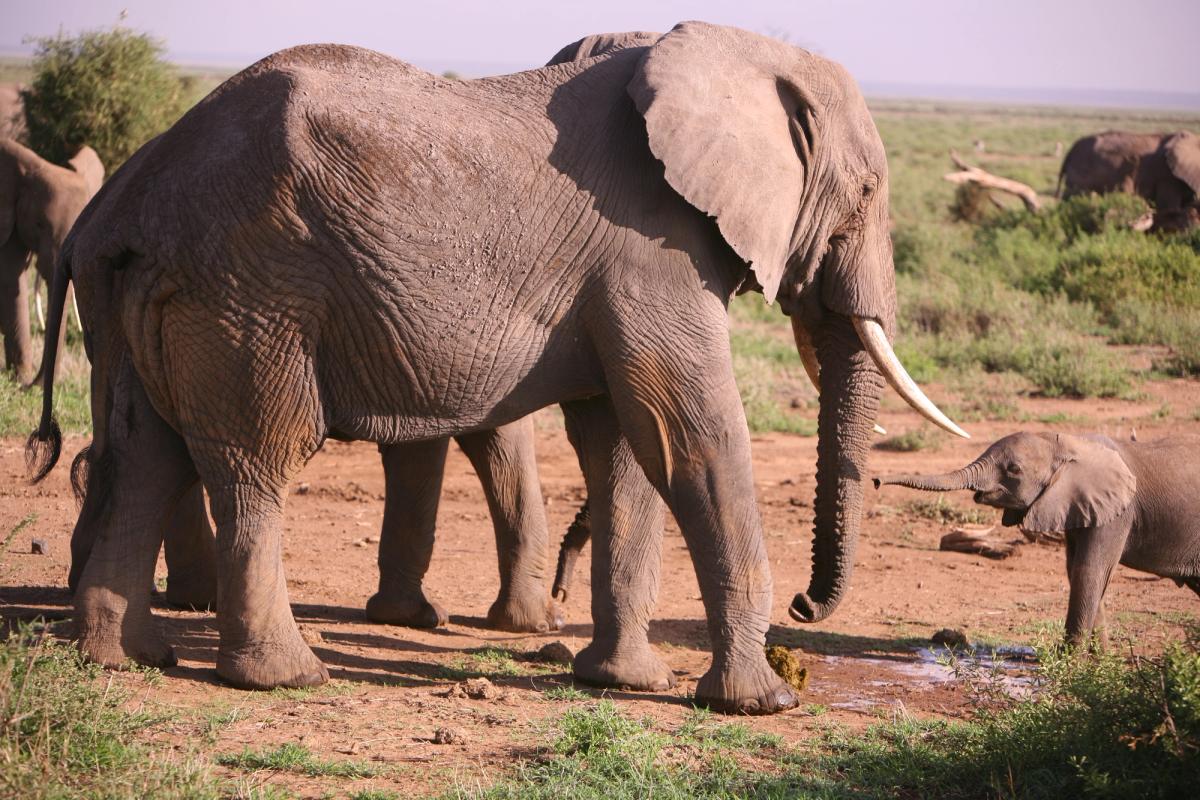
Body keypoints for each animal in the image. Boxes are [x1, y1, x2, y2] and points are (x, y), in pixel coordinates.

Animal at [1, 138, 103, 383]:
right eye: (39, 224)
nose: (30, 385)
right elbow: (11, 277)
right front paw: (20, 377)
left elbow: (13, 278)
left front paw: (19, 376)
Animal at [29, 21, 965, 714]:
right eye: (868, 193)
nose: (808, 606)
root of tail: (132, 197)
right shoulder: (652, 251)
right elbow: (690, 437)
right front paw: (761, 702)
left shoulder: (624, 271)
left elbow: (624, 448)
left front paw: (626, 683)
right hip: (247, 293)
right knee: (257, 458)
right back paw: (283, 677)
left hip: (152, 293)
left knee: (142, 455)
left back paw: (126, 658)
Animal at [875, 431, 1200, 647]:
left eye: (1013, 469)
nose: (876, 481)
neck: (1070, 443)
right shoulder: (1079, 507)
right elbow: (1076, 572)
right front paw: (1103, 663)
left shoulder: (1118, 513)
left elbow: (1090, 572)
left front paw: (1072, 666)